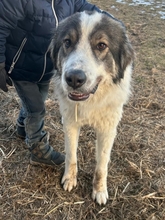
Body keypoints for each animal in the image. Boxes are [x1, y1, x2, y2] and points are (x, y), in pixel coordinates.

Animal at [49, 10, 135, 205]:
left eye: (101, 45)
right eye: (67, 42)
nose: (74, 78)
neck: (90, 101)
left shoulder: (107, 129)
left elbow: (102, 165)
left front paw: (99, 191)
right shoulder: (71, 123)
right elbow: (71, 155)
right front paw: (70, 179)